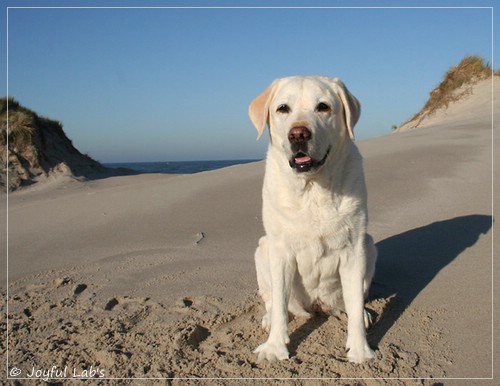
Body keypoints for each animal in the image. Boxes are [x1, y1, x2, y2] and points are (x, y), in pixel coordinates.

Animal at [248, 76, 376, 364]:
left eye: (323, 107)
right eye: (283, 108)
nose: (298, 134)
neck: (312, 189)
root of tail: (317, 304)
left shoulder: (353, 249)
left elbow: (354, 301)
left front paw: (360, 350)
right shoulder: (281, 251)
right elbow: (280, 307)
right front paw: (274, 348)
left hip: (369, 245)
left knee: (355, 300)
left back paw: (363, 314)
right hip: (262, 249)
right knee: (273, 301)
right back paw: (267, 318)